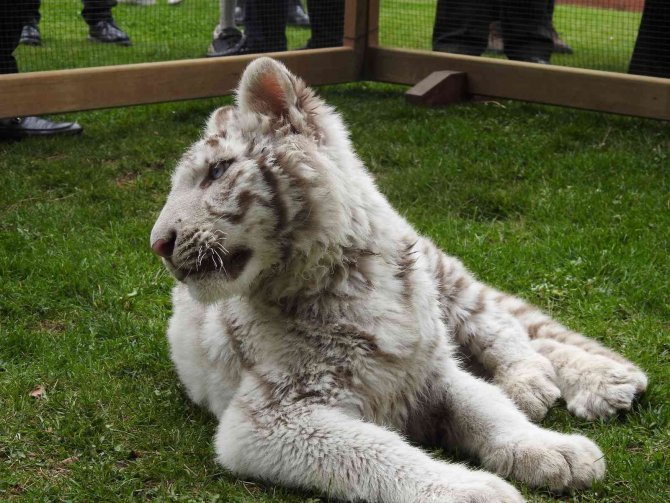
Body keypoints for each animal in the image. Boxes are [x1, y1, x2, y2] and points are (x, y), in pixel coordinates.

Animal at [151, 59, 644, 503]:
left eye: (217, 171)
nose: (158, 244)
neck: (349, 278)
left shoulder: (431, 369)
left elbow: (489, 409)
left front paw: (552, 449)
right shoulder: (267, 420)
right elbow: (375, 450)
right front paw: (472, 490)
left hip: (446, 284)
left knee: (507, 328)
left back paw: (558, 380)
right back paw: (602, 383)